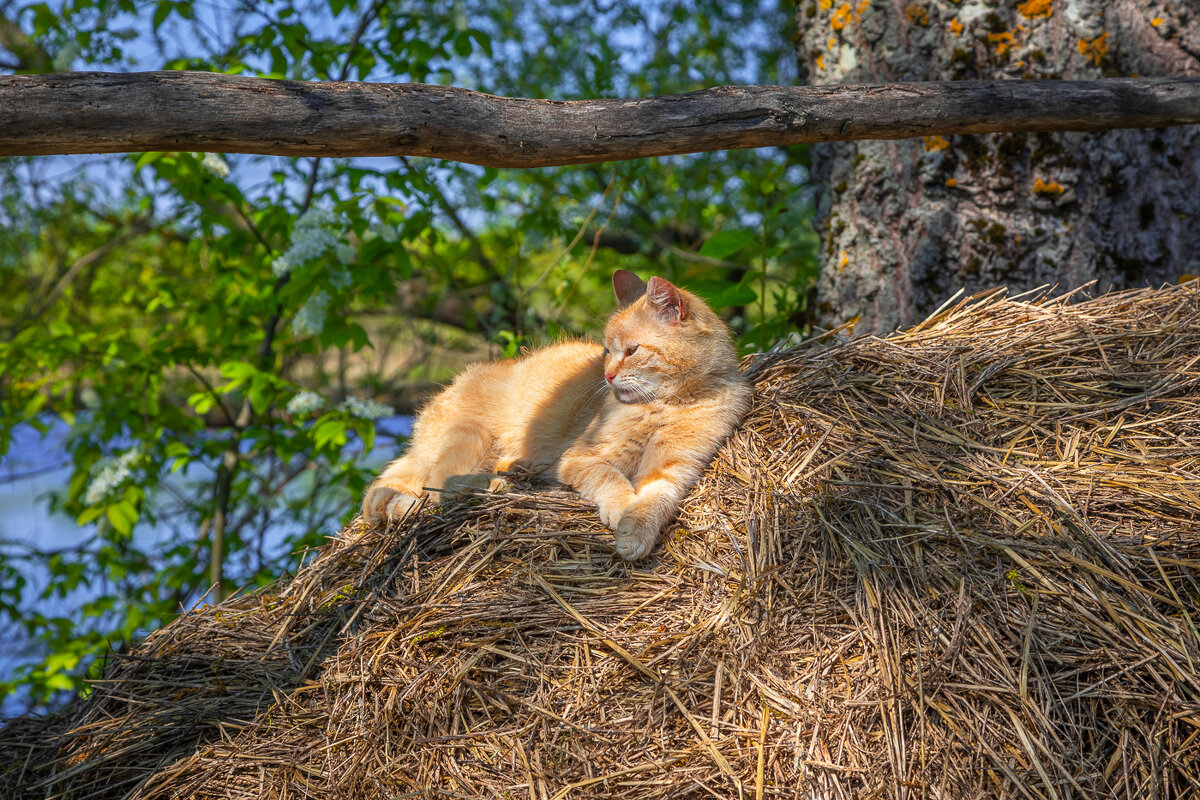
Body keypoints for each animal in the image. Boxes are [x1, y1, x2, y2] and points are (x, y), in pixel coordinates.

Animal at [360, 272, 748, 561]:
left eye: (632, 350)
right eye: (606, 351)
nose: (607, 376)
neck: (667, 404)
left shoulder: (674, 468)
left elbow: (656, 501)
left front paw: (636, 530)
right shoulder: (581, 458)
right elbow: (610, 479)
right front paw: (621, 507)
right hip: (470, 438)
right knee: (444, 488)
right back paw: (497, 482)